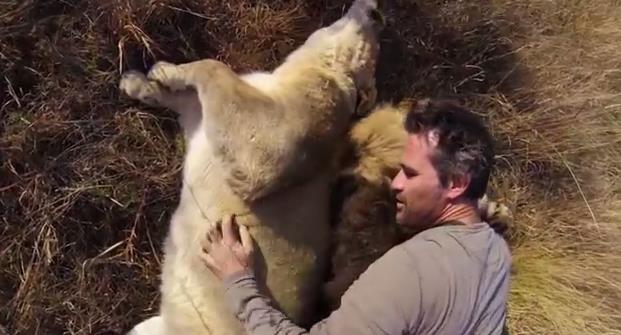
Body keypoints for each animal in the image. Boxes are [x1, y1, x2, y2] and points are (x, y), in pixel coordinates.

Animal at [117, 1, 382, 334]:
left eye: (376, 45)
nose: (376, 11)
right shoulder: (206, 119)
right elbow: (192, 102)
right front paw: (139, 82)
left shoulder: (290, 136)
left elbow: (216, 71)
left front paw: (162, 70)